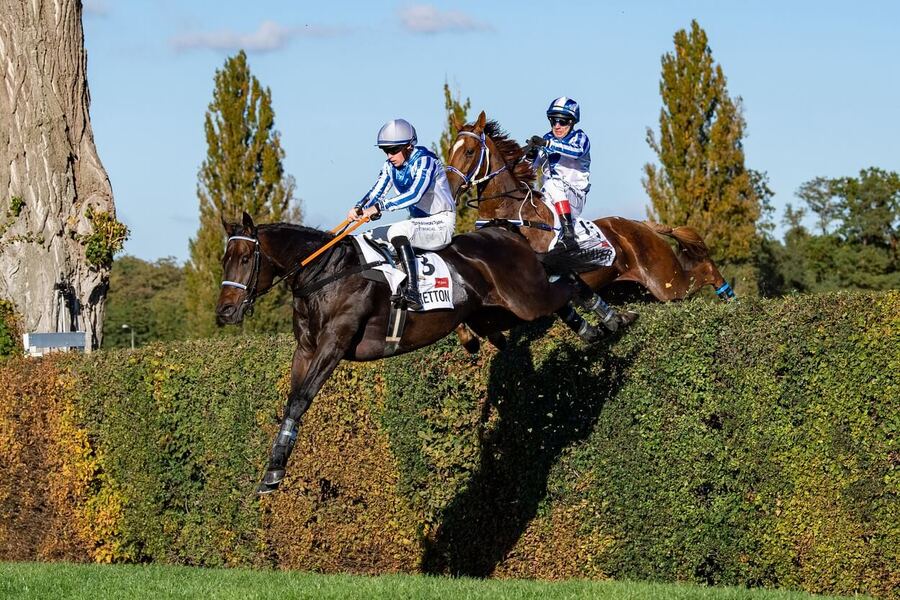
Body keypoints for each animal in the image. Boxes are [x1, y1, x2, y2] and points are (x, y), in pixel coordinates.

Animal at [214, 212, 588, 492]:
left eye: (245, 258)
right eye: (224, 260)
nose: (225, 312)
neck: (325, 274)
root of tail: (504, 231)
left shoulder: (334, 343)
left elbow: (300, 401)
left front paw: (274, 471)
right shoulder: (305, 350)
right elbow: (292, 402)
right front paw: (273, 469)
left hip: (524, 299)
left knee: (568, 281)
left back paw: (601, 325)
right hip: (492, 313)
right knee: (549, 304)